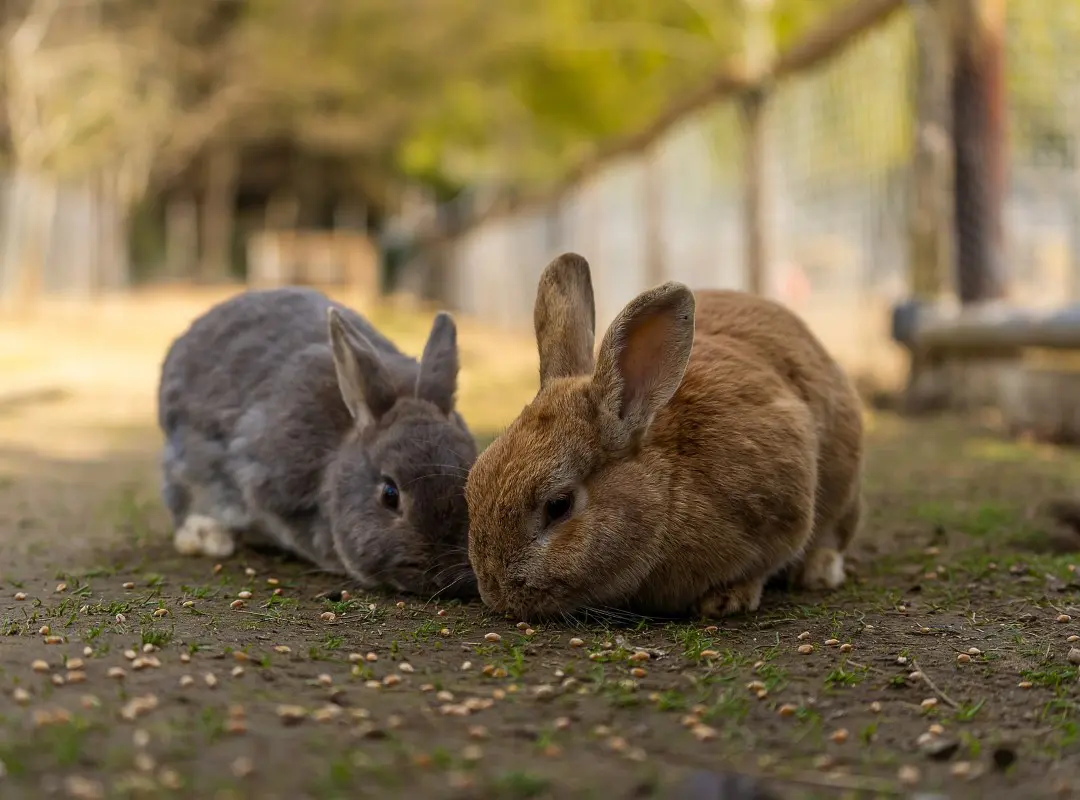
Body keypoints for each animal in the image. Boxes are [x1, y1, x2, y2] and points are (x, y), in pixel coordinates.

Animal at [464, 251, 859, 617]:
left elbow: (769, 558)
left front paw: (727, 599)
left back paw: (819, 571)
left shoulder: (786, 502)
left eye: (558, 506)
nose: (496, 592)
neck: (668, 483)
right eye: (472, 486)